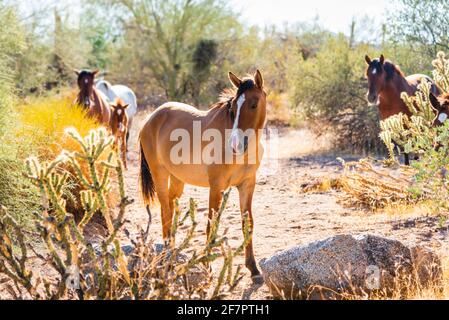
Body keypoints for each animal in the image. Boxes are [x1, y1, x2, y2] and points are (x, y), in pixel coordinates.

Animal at [140, 69, 266, 278]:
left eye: (254, 104)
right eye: (232, 108)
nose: (235, 145)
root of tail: (150, 118)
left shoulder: (247, 185)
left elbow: (247, 223)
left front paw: (253, 268)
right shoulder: (215, 187)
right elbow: (211, 224)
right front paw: (206, 265)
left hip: (177, 179)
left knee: (170, 207)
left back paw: (172, 250)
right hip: (160, 174)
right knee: (165, 210)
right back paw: (167, 255)